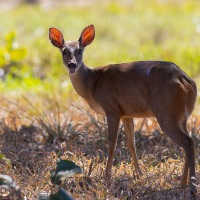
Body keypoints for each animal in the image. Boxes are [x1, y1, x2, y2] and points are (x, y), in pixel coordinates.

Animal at [49, 23, 197, 194]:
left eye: (80, 50)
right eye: (64, 50)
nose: (72, 64)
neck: (92, 85)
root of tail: (186, 81)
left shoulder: (111, 109)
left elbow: (112, 143)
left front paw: (107, 175)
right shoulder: (126, 113)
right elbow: (131, 143)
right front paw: (139, 174)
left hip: (166, 111)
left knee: (188, 142)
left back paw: (191, 186)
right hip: (182, 115)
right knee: (187, 141)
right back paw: (183, 183)